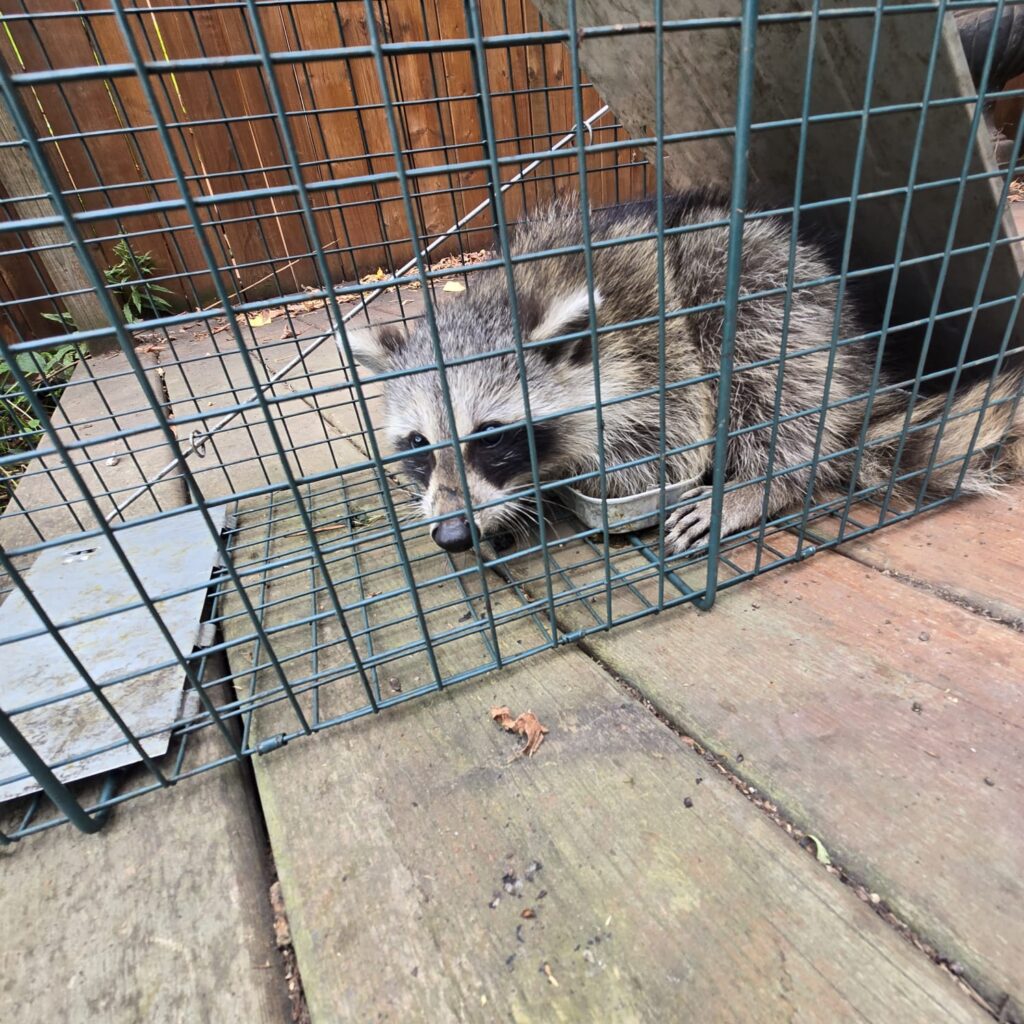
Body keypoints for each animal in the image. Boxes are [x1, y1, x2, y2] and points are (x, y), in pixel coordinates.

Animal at [341, 189, 1024, 554]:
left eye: (490, 437)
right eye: (418, 445)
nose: (453, 534)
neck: (504, 295)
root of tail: (859, 360)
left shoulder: (650, 357)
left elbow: (663, 444)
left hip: (766, 285)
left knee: (772, 374)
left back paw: (762, 482)